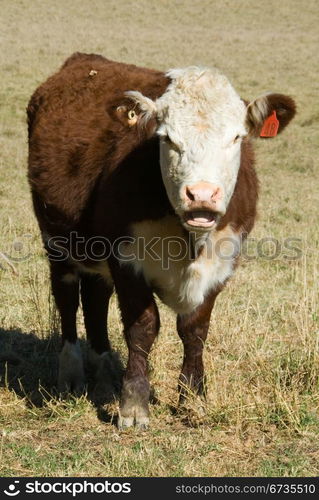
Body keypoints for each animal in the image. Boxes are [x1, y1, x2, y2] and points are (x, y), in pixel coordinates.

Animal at [27, 54, 298, 430]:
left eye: (236, 137)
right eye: (167, 138)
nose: (202, 195)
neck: (189, 239)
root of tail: (85, 60)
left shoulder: (223, 262)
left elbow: (194, 329)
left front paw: (193, 399)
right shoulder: (126, 259)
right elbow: (143, 327)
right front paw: (134, 406)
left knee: (96, 299)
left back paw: (105, 369)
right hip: (57, 241)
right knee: (67, 299)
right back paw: (71, 373)